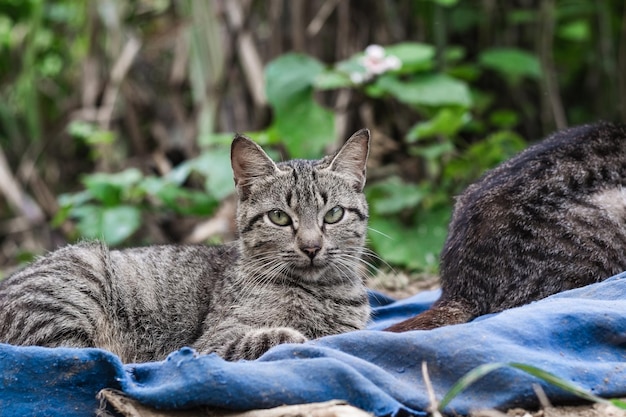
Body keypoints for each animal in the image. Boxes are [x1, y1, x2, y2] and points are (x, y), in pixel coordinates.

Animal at [0, 129, 370, 360]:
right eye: (279, 217)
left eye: (334, 214)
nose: (311, 247)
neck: (319, 294)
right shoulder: (212, 342)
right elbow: (276, 337)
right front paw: (297, 336)